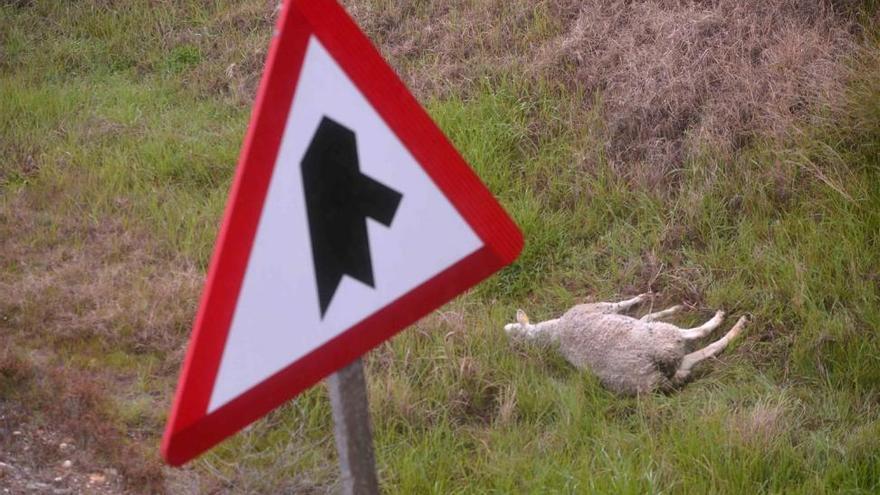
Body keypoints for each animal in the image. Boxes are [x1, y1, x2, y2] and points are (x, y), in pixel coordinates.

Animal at [506, 294, 744, 396]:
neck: (553, 331)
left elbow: (646, 315)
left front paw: (668, 307)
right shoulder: (602, 307)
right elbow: (622, 303)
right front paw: (644, 297)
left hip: (674, 360)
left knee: (701, 353)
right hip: (664, 338)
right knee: (698, 334)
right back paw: (731, 322)